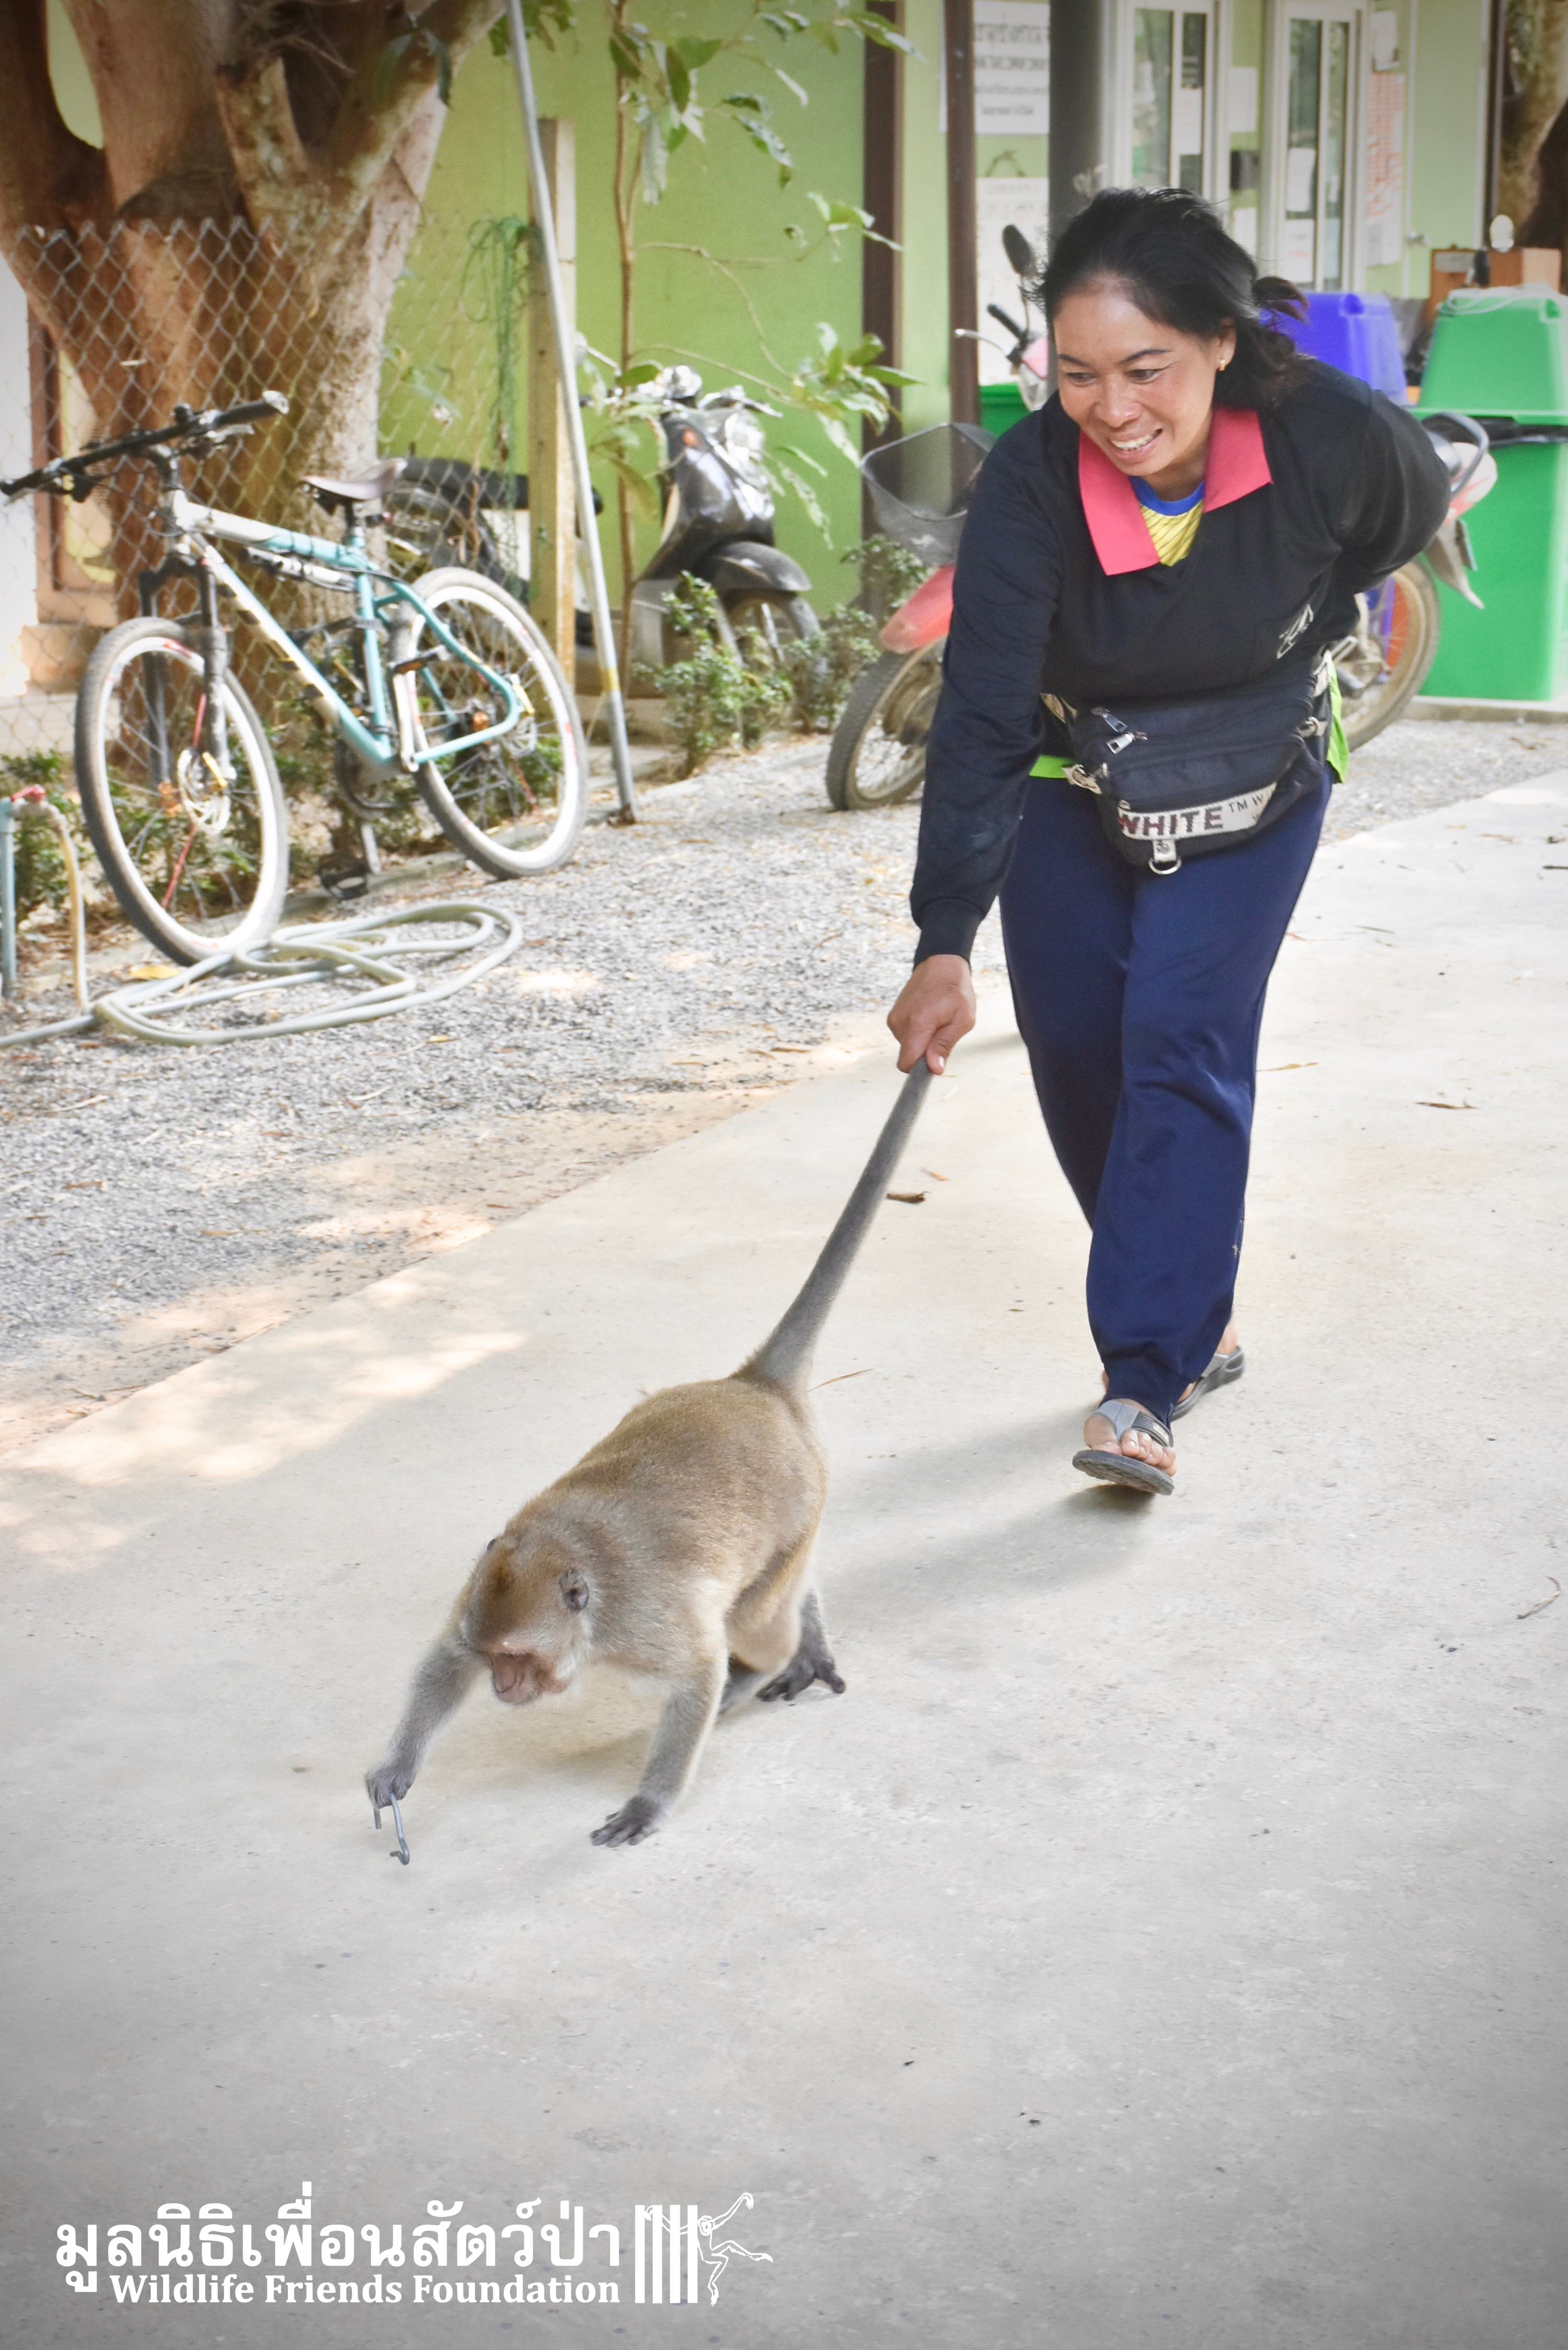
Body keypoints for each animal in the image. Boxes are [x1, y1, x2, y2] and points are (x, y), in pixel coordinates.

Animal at [365, 1059, 932, 1849]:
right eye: (493, 1658)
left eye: (515, 1659)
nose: (503, 1688)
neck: (583, 1591)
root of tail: (752, 1386)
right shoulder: (480, 1588)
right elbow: (445, 1658)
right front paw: (396, 1766)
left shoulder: (645, 1626)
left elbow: (698, 1674)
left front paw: (648, 1803)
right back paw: (811, 1637)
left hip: (801, 1508)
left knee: (755, 1623)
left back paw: (776, 1661)